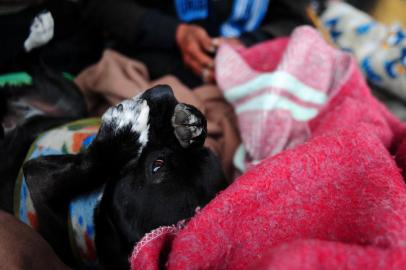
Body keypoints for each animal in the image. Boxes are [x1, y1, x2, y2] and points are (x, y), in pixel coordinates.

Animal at [2, 83, 225, 268]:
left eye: (157, 166)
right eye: (207, 154)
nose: (164, 91)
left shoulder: (38, 181)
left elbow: (91, 164)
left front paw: (123, 132)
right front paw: (192, 126)